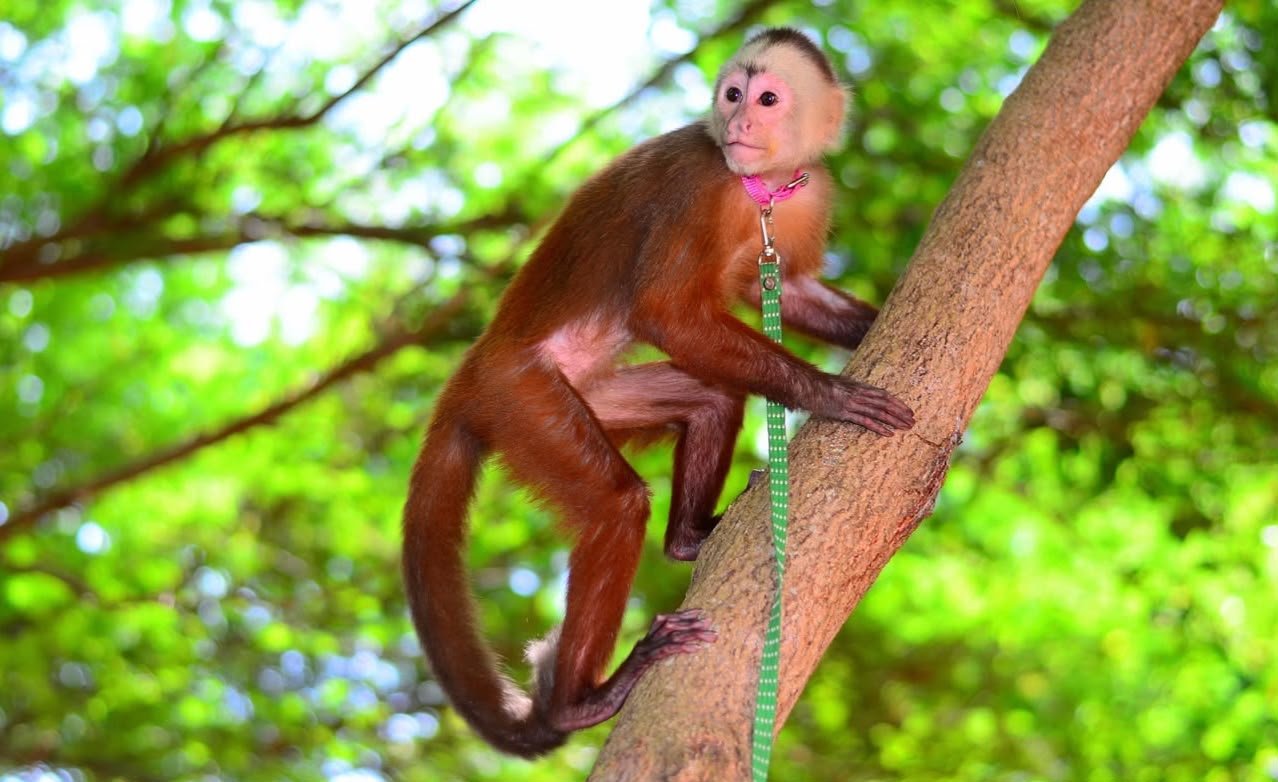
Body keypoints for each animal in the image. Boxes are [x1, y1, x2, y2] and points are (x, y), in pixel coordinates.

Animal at [402, 27, 915, 757]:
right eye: (732, 95)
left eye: (766, 99)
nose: (739, 123)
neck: (754, 189)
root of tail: (469, 376)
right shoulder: (697, 181)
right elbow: (666, 314)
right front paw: (828, 393)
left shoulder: (809, 189)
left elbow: (788, 290)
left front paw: (869, 329)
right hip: (521, 397)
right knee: (617, 505)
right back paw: (580, 703)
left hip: (578, 396)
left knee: (714, 399)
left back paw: (689, 540)